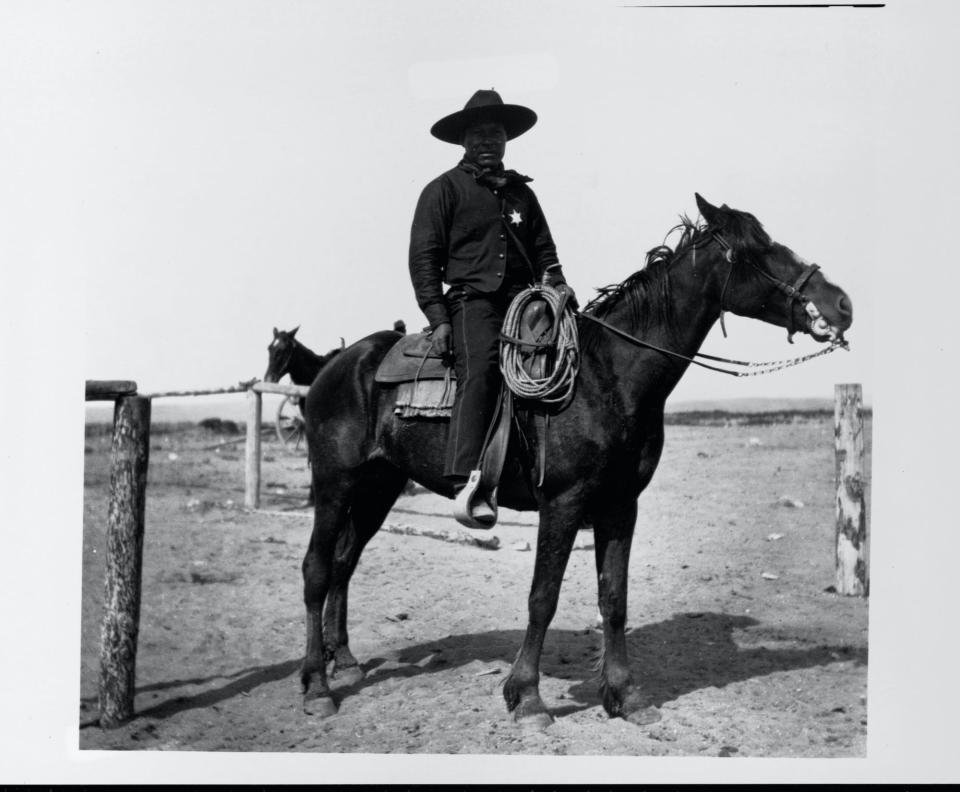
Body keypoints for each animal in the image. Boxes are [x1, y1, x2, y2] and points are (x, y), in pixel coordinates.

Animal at [300, 196, 856, 732]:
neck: (608, 375)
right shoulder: (563, 503)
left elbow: (614, 599)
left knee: (345, 563)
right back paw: (316, 688)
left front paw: (625, 695)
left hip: (379, 486)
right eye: (759, 250)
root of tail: (338, 363)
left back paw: (344, 662)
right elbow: (542, 597)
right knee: (317, 569)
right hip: (334, 485)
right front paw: (526, 697)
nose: (842, 303)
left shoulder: (620, 505)